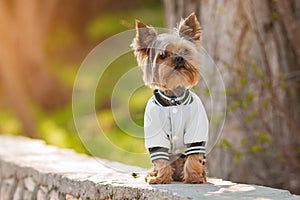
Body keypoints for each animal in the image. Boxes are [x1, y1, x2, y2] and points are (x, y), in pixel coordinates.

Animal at [131, 12, 209, 184]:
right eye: (162, 55)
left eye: (185, 51)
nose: (179, 58)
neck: (173, 100)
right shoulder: (156, 133)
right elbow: (161, 158)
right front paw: (161, 178)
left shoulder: (196, 129)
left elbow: (194, 155)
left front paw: (194, 178)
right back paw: (153, 174)